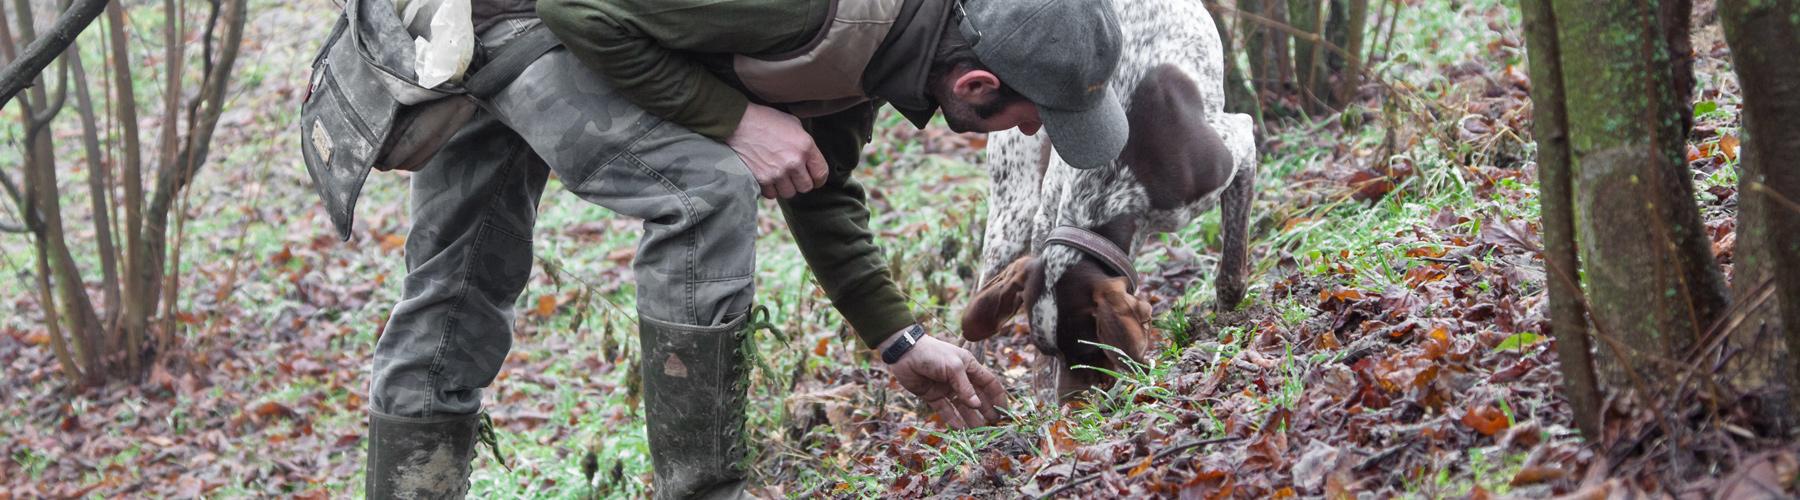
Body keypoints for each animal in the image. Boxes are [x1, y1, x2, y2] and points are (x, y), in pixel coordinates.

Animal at [964, 0, 1260, 401]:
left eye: (1091, 350)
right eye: (1053, 350)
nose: (1073, 407)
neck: (1111, 185)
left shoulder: (1239, 145)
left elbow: (1231, 270)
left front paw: (1227, 319)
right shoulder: (1047, 220)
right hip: (1014, 209)